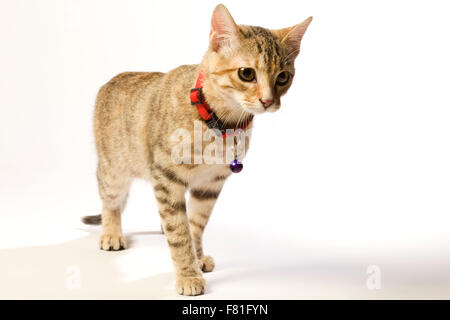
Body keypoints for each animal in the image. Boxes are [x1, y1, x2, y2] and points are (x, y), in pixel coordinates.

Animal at [81, 3, 312, 296]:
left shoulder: (210, 185)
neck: (222, 123)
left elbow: (195, 224)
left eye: (283, 77)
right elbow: (179, 233)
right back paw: (111, 233)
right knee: (110, 202)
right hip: (113, 170)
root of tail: (115, 78)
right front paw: (188, 274)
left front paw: (197, 257)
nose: (268, 101)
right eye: (247, 73)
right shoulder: (167, 178)